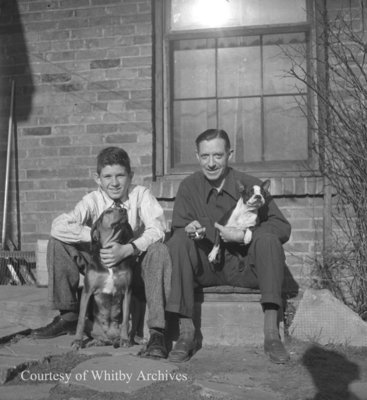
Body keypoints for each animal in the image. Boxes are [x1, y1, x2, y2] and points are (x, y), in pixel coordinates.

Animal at [72, 208, 135, 348]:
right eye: (108, 211)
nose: (123, 210)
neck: (110, 247)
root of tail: (109, 338)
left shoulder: (127, 291)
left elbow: (125, 317)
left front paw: (125, 340)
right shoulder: (87, 291)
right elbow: (79, 320)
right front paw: (77, 341)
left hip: (130, 322)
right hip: (91, 322)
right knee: (93, 332)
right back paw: (95, 342)